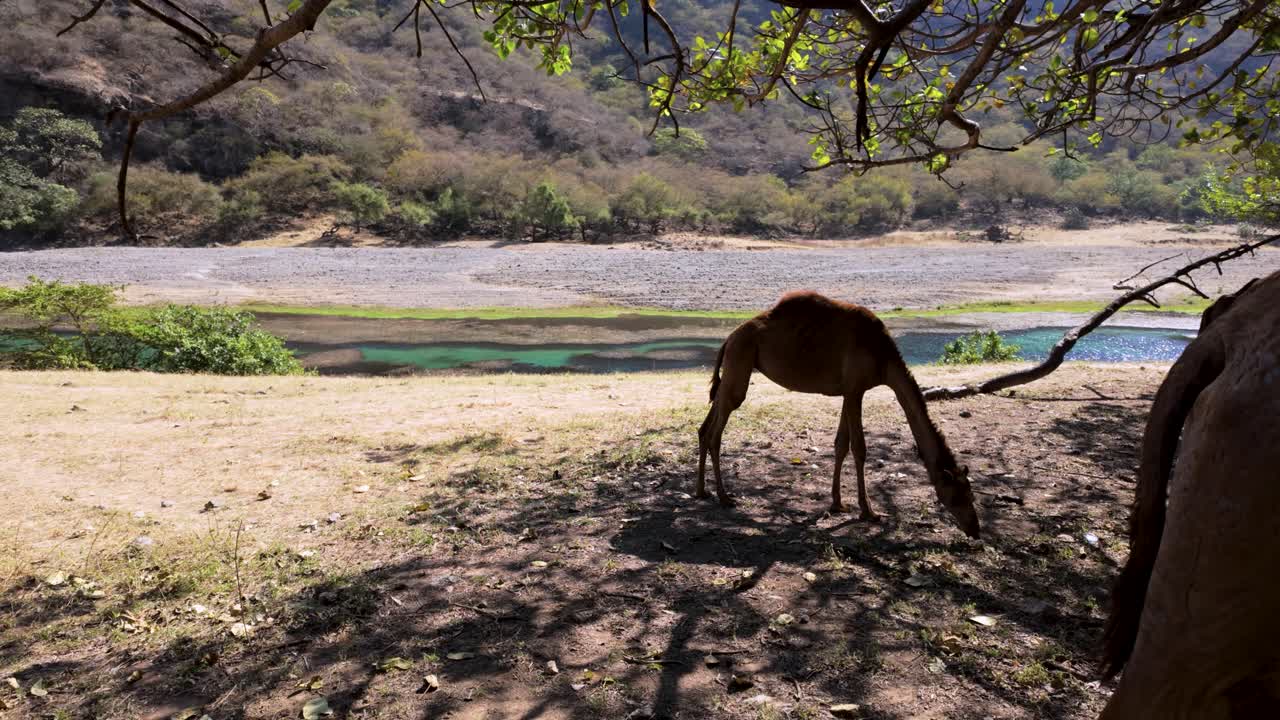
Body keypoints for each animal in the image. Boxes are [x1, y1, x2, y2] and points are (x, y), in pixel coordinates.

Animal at [696, 291, 981, 539]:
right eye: (957, 495)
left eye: (971, 493)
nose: (975, 529)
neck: (883, 358)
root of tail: (728, 339)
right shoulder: (856, 389)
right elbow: (860, 448)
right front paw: (869, 511)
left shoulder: (848, 391)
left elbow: (841, 444)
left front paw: (837, 504)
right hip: (740, 364)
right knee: (716, 431)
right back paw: (724, 497)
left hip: (733, 369)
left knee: (705, 426)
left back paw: (702, 491)